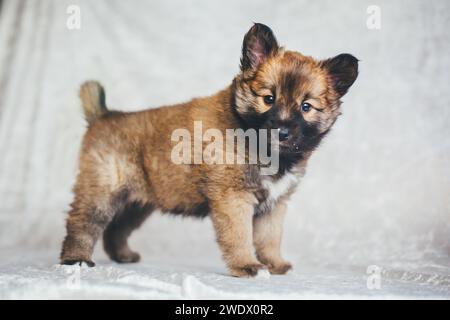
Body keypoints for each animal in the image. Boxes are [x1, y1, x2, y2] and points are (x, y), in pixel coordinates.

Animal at [59, 23, 356, 278]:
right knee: (82, 223)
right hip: (101, 190)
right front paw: (247, 265)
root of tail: (103, 115)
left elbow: (269, 237)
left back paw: (123, 255)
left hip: (137, 202)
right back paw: (76, 259)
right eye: (268, 99)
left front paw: (274, 263)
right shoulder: (234, 198)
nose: (282, 132)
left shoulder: (274, 205)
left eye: (306, 107)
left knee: (116, 229)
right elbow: (239, 236)